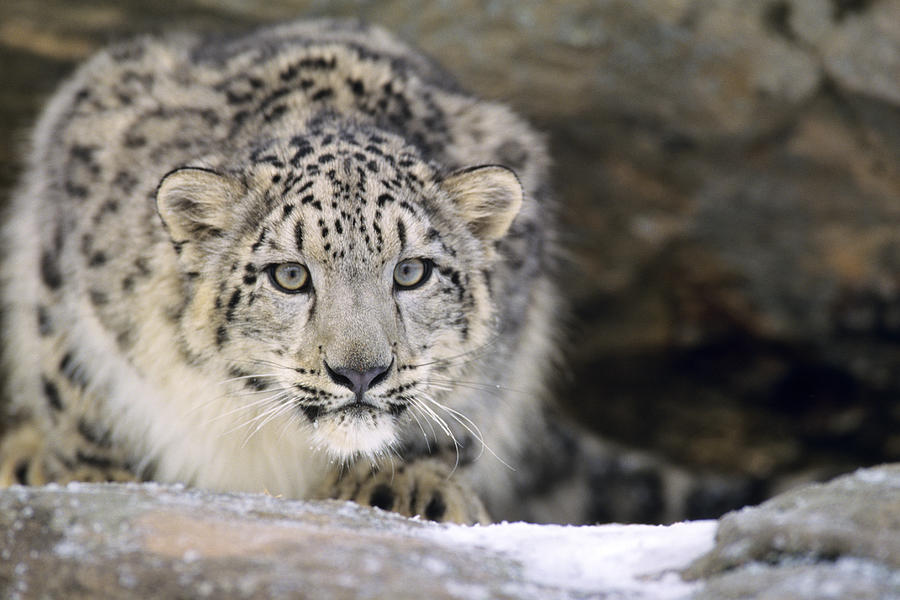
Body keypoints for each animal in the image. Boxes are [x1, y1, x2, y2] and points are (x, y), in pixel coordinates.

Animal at [0, 19, 748, 524]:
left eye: (412, 272)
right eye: (290, 277)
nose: (360, 373)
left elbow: (459, 403)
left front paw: (407, 485)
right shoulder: (65, 255)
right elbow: (74, 387)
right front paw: (95, 476)